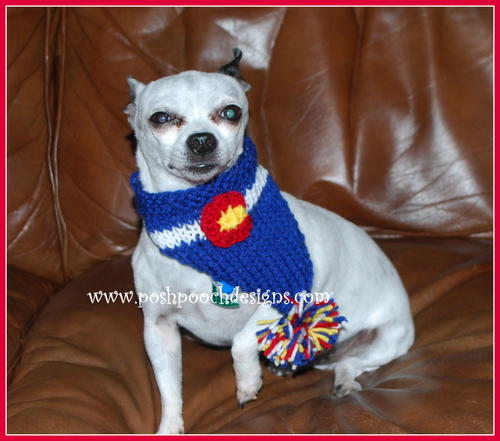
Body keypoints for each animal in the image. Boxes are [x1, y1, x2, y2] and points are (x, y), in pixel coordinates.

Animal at [126, 49, 414, 432]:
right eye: (160, 118)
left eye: (231, 112)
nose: (202, 139)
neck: (195, 225)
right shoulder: (159, 330)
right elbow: (169, 390)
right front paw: (170, 427)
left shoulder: (284, 294)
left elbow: (241, 341)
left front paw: (247, 381)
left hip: (388, 340)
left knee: (350, 364)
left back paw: (340, 379)